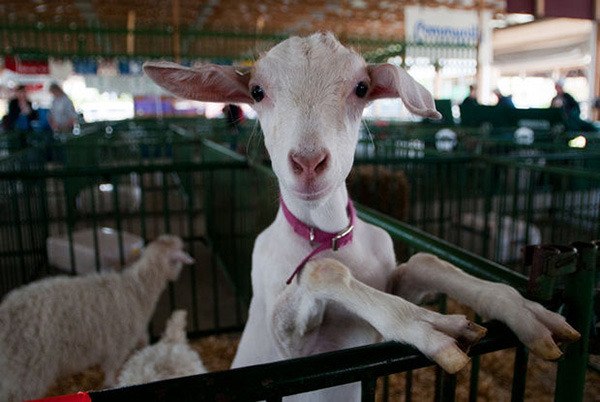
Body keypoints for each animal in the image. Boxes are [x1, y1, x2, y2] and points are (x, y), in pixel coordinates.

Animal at [0, 234, 193, 400]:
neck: (138, 288)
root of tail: (6, 314)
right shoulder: (118, 344)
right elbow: (111, 370)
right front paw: (112, 383)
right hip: (29, 368)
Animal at [143, 33, 580, 400]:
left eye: (361, 88)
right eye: (257, 91)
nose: (308, 163)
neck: (327, 235)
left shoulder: (389, 283)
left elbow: (425, 262)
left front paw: (522, 311)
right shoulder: (287, 344)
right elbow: (321, 271)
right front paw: (431, 326)